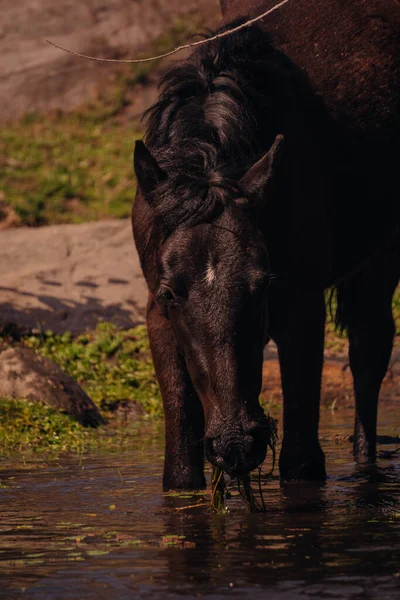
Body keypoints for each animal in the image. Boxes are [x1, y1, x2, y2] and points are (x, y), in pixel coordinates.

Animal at [132, 0, 400, 488]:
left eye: (263, 285)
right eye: (171, 292)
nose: (235, 444)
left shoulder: (302, 305)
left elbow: (302, 464)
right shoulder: (156, 313)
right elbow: (180, 468)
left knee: (369, 348)